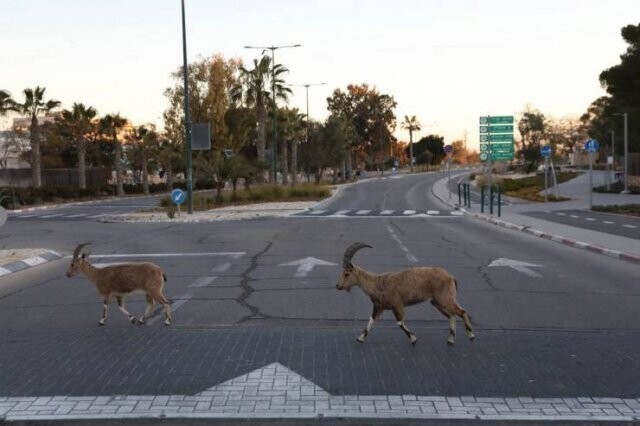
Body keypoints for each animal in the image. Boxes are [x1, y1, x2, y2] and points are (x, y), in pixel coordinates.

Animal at [336, 241, 476, 344]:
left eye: (347, 273)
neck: (377, 283)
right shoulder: (379, 307)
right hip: (437, 302)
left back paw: (471, 336)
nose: (338, 286)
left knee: (462, 312)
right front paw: (360, 338)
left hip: (445, 298)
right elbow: (371, 320)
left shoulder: (397, 305)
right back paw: (450, 340)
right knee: (452, 316)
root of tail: (450, 276)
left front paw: (413, 339)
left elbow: (399, 323)